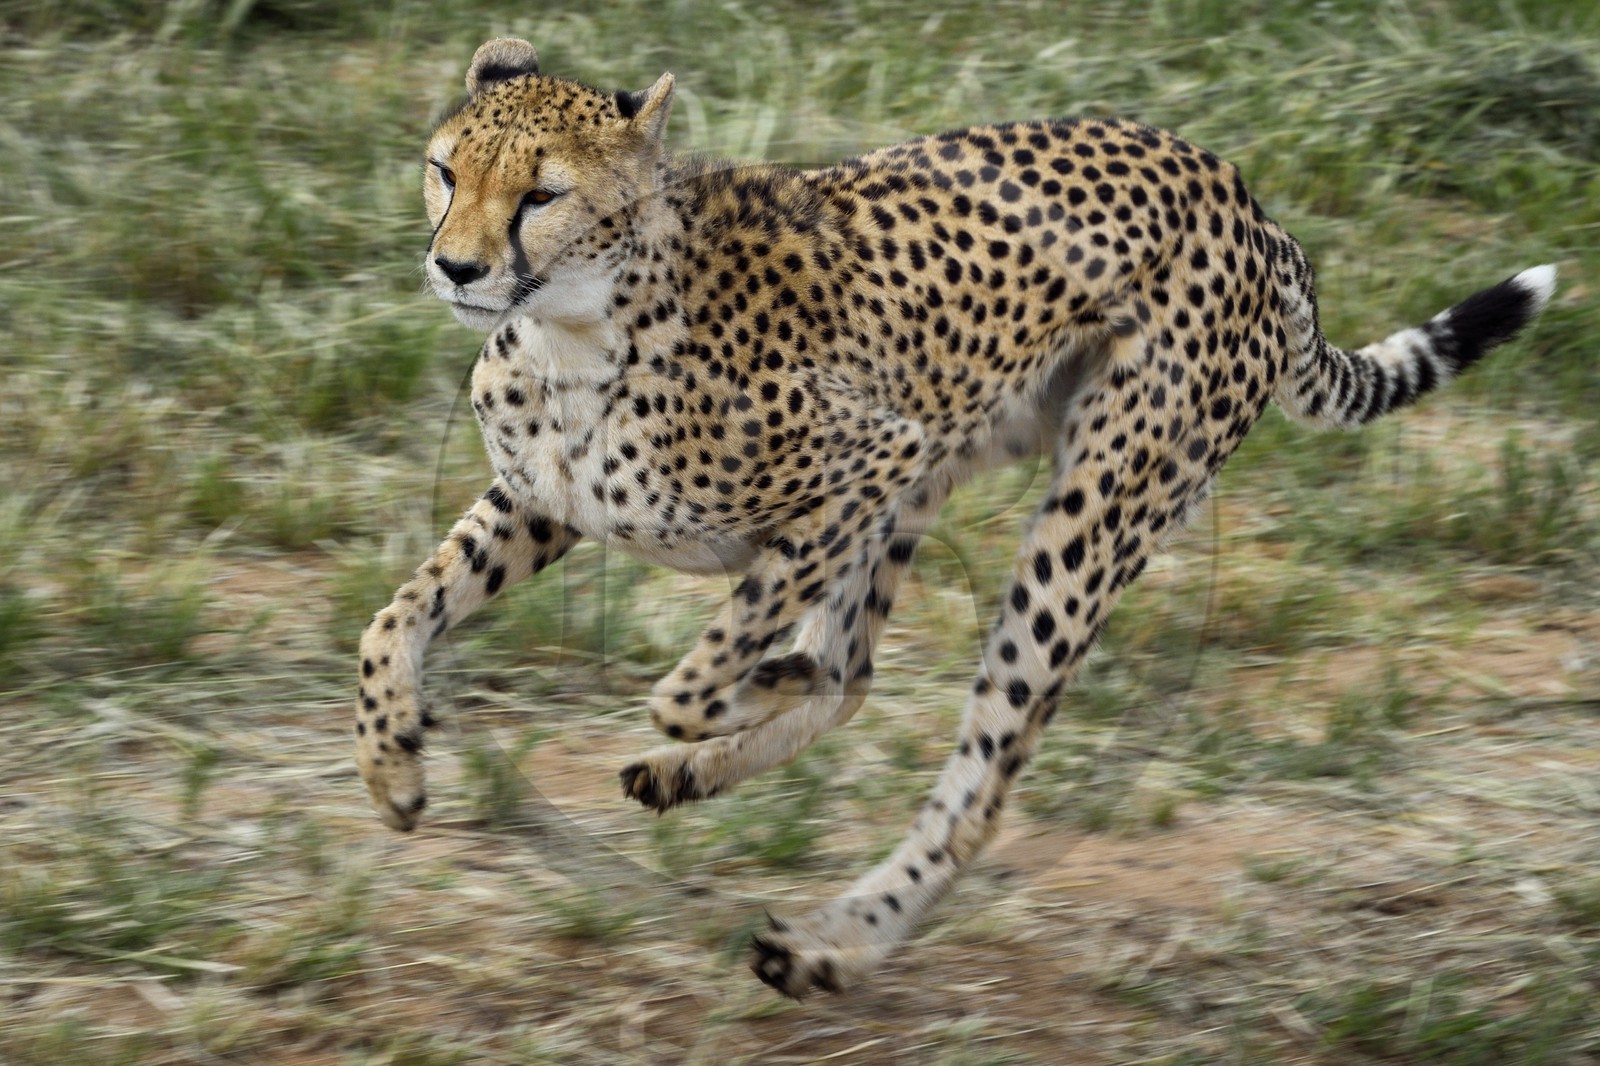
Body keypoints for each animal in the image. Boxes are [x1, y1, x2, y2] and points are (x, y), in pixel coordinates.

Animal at [352, 36, 1557, 997]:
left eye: (541, 194)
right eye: (446, 170)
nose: (455, 265)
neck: (576, 329)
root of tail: (1252, 207)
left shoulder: (873, 460)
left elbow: (694, 680)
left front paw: (752, 683)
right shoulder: (550, 503)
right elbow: (395, 618)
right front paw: (393, 766)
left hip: (1084, 516)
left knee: (968, 776)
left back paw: (835, 942)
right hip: (949, 470)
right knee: (857, 669)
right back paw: (701, 781)